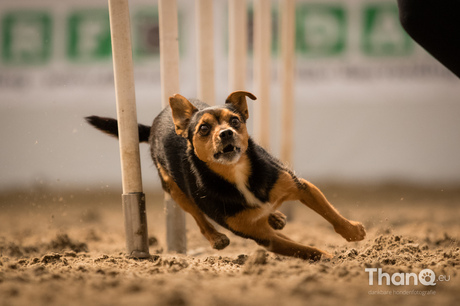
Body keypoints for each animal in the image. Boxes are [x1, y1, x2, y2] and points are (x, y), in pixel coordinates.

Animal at [86, 91, 366, 260]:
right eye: (204, 129)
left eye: (235, 121)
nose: (226, 133)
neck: (237, 174)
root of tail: (158, 120)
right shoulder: (264, 238)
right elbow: (303, 248)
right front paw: (330, 258)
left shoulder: (300, 186)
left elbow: (330, 213)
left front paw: (353, 232)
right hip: (174, 188)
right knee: (197, 215)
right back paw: (217, 237)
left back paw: (276, 216)